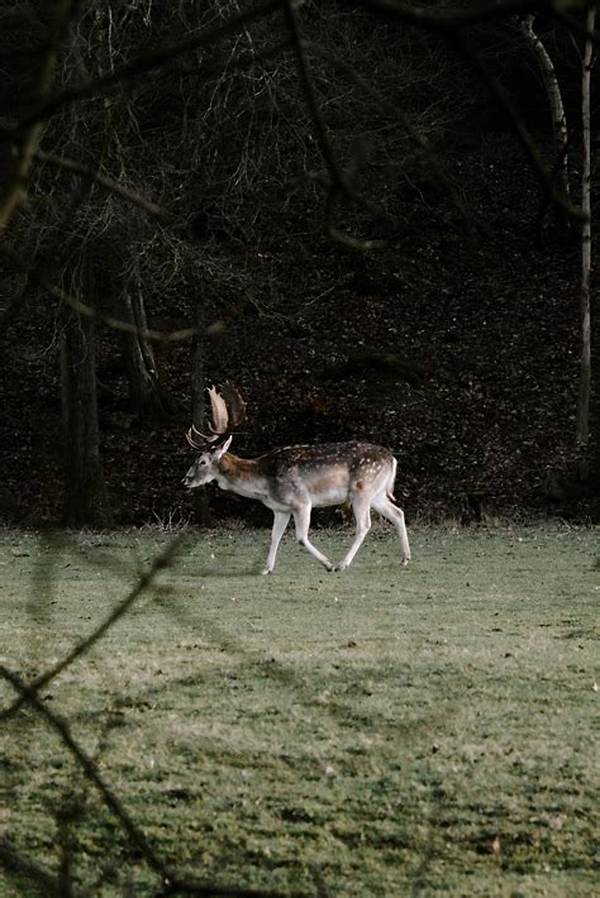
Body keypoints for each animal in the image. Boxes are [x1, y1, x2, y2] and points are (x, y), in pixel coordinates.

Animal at [183, 383, 411, 574]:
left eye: (202, 461)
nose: (185, 480)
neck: (263, 485)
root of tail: (392, 459)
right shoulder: (281, 509)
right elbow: (274, 536)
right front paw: (266, 569)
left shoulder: (302, 502)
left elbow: (300, 538)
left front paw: (327, 564)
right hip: (377, 493)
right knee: (398, 512)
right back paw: (405, 559)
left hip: (361, 490)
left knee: (364, 525)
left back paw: (342, 564)